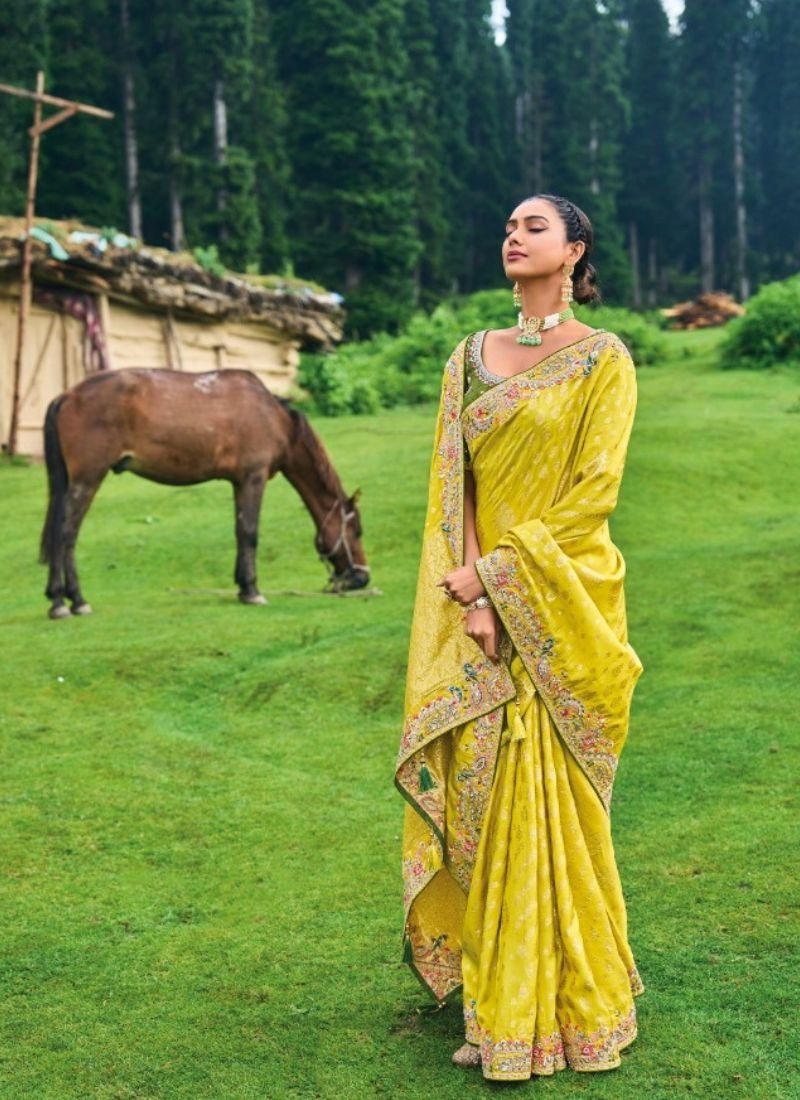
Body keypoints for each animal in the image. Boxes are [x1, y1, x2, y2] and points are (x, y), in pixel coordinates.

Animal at [39, 365, 369, 616]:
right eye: (356, 531)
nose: (363, 577)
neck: (274, 418)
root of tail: (66, 396)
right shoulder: (254, 478)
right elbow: (250, 532)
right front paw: (253, 591)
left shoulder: (239, 482)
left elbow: (239, 532)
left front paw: (242, 586)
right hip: (87, 480)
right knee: (66, 534)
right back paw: (75, 600)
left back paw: (57, 599)